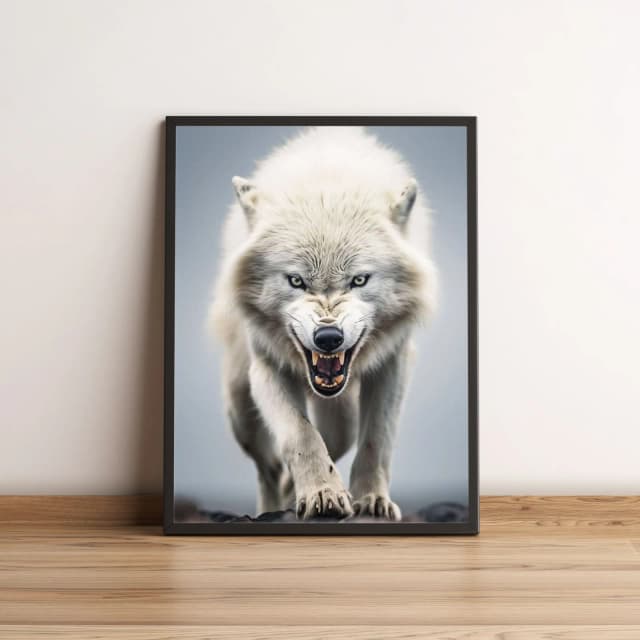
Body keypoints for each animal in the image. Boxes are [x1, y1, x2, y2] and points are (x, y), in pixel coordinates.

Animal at [210, 127, 437, 520]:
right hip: (241, 409)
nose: (328, 336)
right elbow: (301, 435)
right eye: (296, 281)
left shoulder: (394, 363)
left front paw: (370, 500)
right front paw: (322, 494)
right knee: (269, 468)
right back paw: (276, 502)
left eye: (359, 280)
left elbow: (376, 438)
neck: (327, 183)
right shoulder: (266, 368)